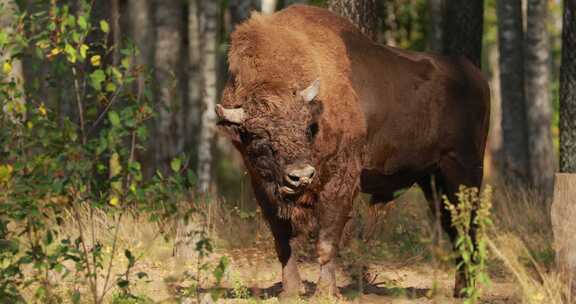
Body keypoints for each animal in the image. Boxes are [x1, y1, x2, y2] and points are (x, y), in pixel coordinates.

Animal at [216, 4, 490, 300]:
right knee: (455, 227)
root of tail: (475, 74)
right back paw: (461, 289)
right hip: (432, 179)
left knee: (469, 225)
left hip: (464, 170)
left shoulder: (340, 179)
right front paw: (290, 291)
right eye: (257, 133)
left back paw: (468, 290)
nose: (300, 176)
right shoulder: (262, 186)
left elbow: (327, 239)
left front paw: (326, 292)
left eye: (307, 126)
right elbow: (283, 241)